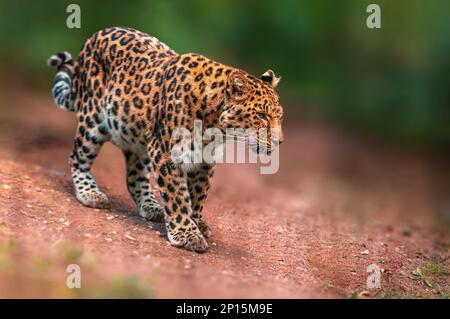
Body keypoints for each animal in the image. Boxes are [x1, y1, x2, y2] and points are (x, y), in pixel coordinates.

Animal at [47, 26, 284, 252]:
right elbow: (178, 196)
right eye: (261, 115)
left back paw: (151, 206)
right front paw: (187, 234)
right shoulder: (167, 155)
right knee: (77, 158)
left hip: (138, 140)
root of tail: (94, 36)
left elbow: (198, 194)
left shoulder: (205, 160)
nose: (280, 141)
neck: (214, 124)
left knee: (134, 178)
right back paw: (90, 193)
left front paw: (196, 222)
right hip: (92, 121)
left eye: (279, 117)